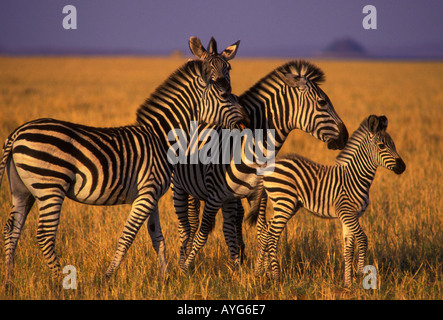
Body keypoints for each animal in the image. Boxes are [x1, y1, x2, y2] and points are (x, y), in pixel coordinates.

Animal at [0, 37, 245, 282]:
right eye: (225, 96)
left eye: (229, 69)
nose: (246, 123)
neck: (160, 137)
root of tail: (17, 132)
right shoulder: (146, 194)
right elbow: (127, 236)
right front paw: (108, 276)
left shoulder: (151, 195)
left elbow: (158, 238)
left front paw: (165, 278)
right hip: (50, 187)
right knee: (44, 235)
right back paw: (60, 281)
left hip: (23, 190)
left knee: (12, 229)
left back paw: (10, 277)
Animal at [173, 59, 350, 270]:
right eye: (322, 102)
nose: (345, 136)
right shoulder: (214, 196)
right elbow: (202, 233)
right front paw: (185, 268)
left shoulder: (259, 196)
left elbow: (263, 232)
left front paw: (260, 270)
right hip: (180, 186)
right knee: (187, 226)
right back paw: (183, 260)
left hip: (224, 197)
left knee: (226, 227)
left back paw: (235, 265)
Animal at [248, 115, 408, 288]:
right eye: (381, 146)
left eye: (393, 144)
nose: (402, 167)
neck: (356, 177)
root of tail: (268, 167)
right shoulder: (346, 212)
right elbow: (363, 239)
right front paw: (360, 272)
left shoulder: (351, 217)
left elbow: (348, 249)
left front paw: (347, 283)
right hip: (285, 203)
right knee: (272, 235)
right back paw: (276, 278)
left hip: (287, 205)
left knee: (266, 232)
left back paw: (260, 273)